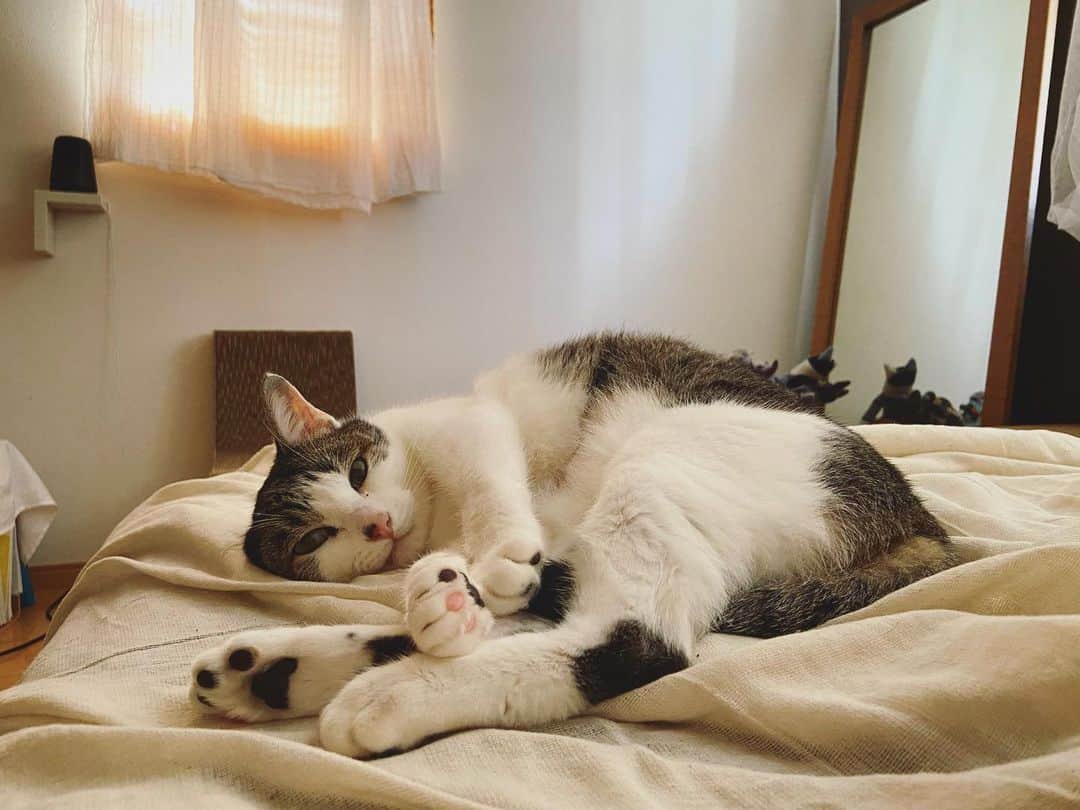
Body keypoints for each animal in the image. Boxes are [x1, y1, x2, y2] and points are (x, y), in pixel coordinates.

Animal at [190, 332, 956, 758]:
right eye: (318, 536)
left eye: (356, 471)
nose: (376, 522)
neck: (437, 521)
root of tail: (919, 519)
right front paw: (453, 595)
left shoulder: (472, 427)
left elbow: (493, 490)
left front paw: (498, 554)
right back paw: (271, 671)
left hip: (663, 455)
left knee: (638, 640)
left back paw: (390, 693)